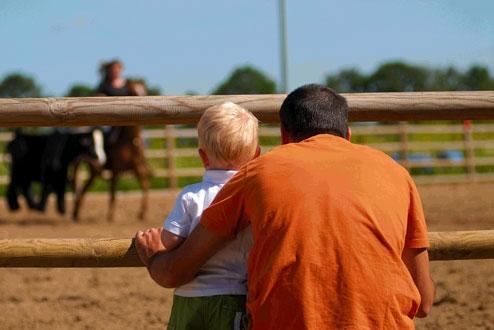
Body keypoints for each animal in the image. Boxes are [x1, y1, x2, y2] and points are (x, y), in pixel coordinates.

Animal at [72, 80, 151, 222]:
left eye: (144, 91)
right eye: (133, 92)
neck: (130, 142)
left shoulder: (136, 167)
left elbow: (144, 185)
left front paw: (143, 213)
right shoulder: (115, 170)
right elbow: (113, 193)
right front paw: (110, 216)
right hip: (94, 171)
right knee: (84, 189)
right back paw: (76, 213)